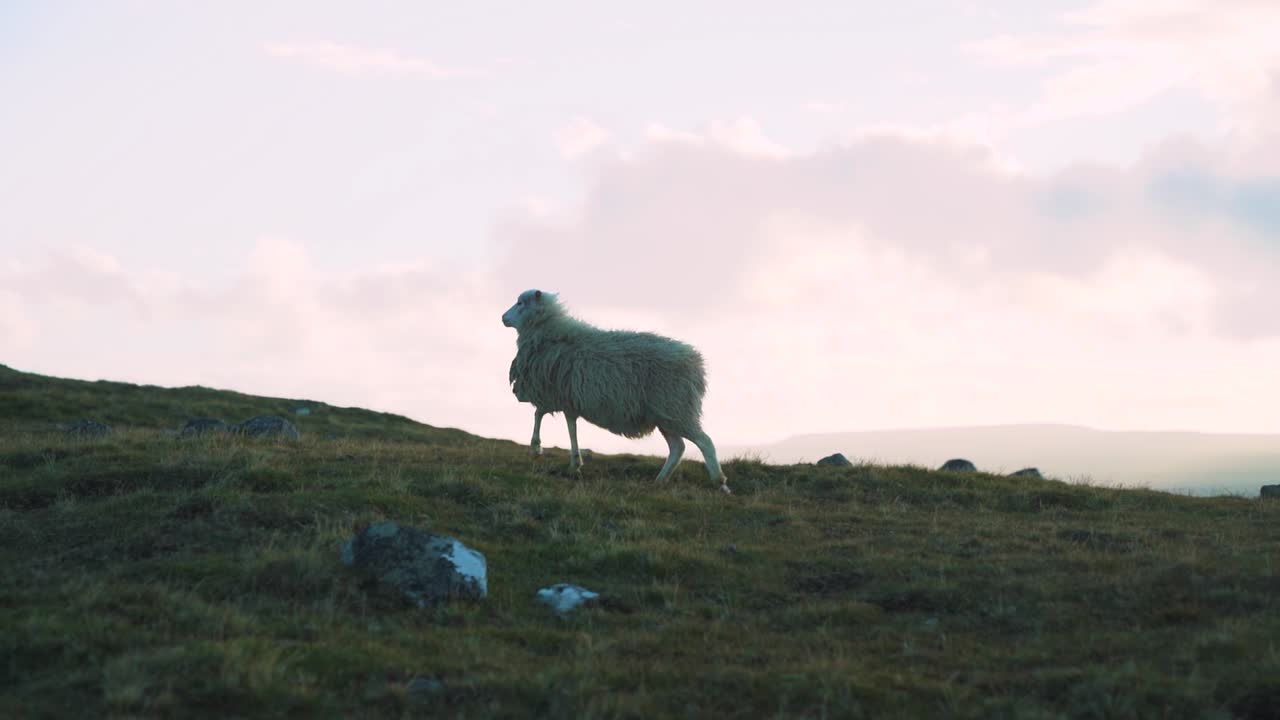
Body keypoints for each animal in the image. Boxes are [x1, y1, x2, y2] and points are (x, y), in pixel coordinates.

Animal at [502, 289, 731, 494]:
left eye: (520, 303)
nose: (503, 318)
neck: (550, 333)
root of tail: (696, 364)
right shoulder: (569, 398)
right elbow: (569, 427)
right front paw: (575, 463)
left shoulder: (554, 393)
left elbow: (539, 414)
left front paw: (536, 448)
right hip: (665, 414)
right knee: (678, 447)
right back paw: (659, 480)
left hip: (677, 408)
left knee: (705, 442)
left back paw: (720, 482)